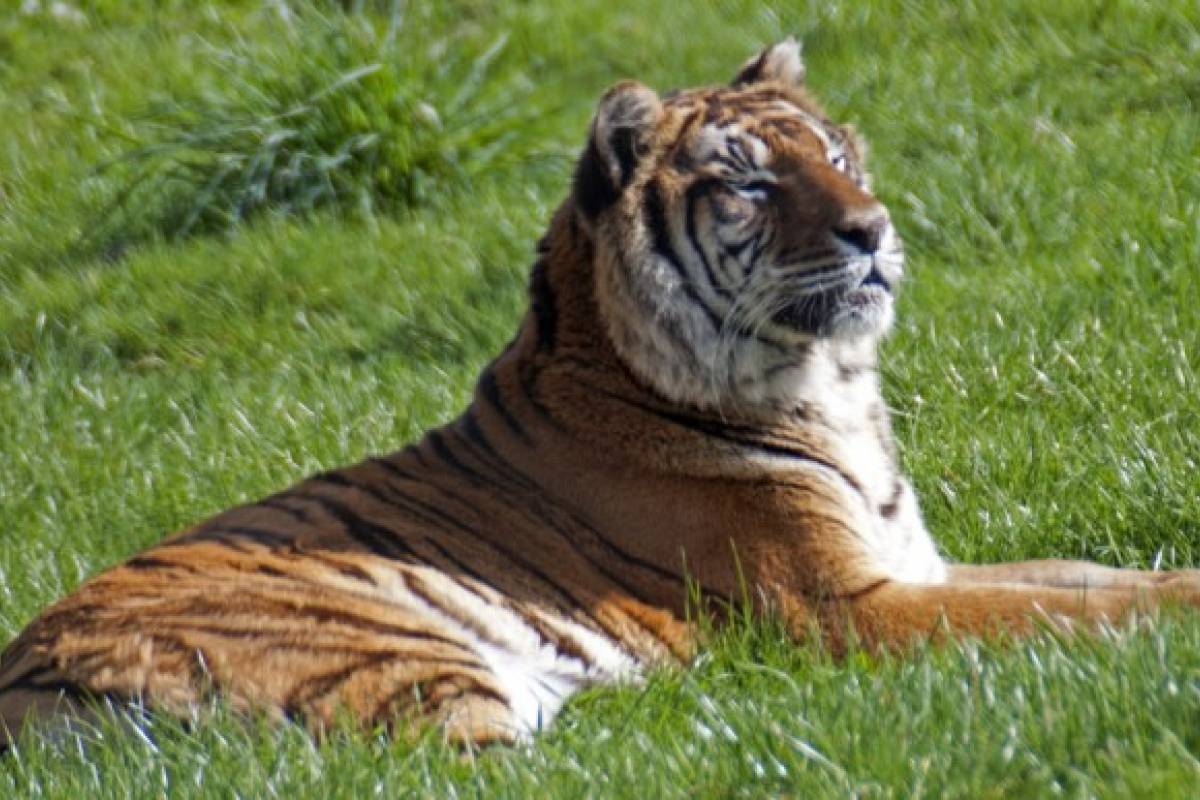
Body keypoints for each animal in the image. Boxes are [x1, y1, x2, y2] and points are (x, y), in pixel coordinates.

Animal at [3, 38, 1199, 749]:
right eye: (753, 182)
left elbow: (1085, 576)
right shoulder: (848, 604)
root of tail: (26, 683)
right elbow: (1059, 609)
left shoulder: (915, 564)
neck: (835, 393)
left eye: (837, 156)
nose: (875, 228)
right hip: (398, 656)